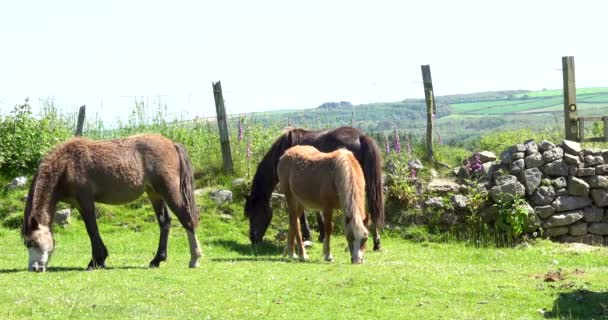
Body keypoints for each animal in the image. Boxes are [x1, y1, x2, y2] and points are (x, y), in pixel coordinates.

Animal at [21, 134, 202, 272]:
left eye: (33, 242)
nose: (34, 268)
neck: (66, 164)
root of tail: (171, 143)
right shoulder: (79, 203)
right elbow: (92, 229)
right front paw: (100, 260)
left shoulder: (85, 200)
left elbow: (92, 229)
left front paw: (95, 261)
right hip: (154, 193)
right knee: (165, 222)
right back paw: (157, 260)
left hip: (169, 191)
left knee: (186, 219)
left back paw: (195, 259)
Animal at [243, 127, 382, 250]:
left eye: (254, 212)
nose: (253, 238)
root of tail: (361, 137)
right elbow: (317, 211)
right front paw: (321, 235)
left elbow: (303, 214)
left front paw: (307, 236)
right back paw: (376, 243)